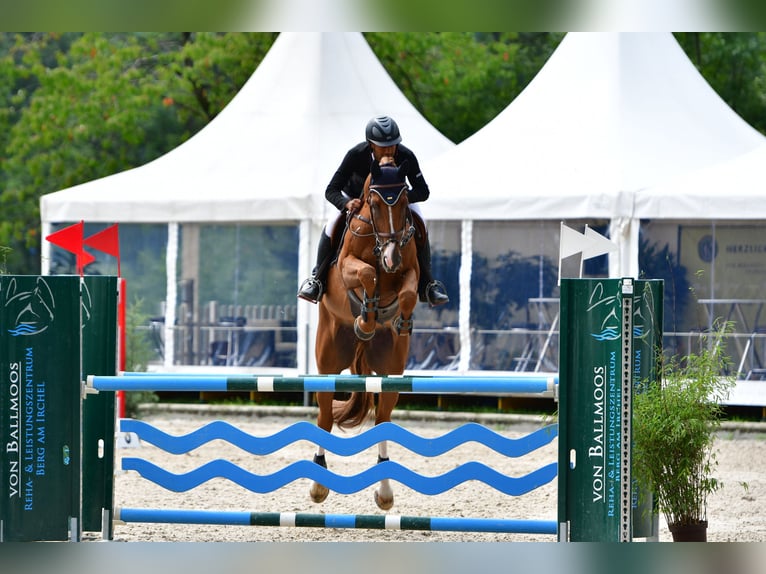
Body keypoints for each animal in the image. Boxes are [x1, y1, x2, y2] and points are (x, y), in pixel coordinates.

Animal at [310, 155, 420, 510]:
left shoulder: (410, 271)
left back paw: (385, 491)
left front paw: (398, 320)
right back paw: (318, 484)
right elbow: (367, 273)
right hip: (328, 362)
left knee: (383, 420)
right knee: (325, 417)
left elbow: (408, 292)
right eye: (373, 203)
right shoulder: (347, 268)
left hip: (390, 372)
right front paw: (365, 321)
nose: (391, 257)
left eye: (404, 201)